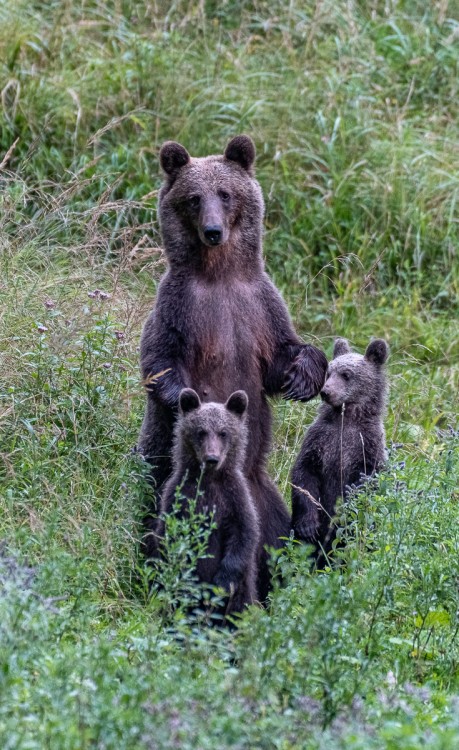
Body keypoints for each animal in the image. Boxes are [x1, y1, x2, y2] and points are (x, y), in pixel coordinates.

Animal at [156, 388, 260, 616]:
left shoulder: (234, 496)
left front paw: (222, 583)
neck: (210, 479)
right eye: (201, 431)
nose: (212, 458)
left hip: (244, 589)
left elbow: (244, 533)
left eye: (223, 432)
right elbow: (171, 535)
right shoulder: (179, 495)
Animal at [292, 340, 388, 560]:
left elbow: (365, 482)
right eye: (329, 372)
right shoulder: (320, 439)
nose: (325, 392)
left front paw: (342, 515)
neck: (347, 419)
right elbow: (304, 472)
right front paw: (308, 525)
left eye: (346, 374)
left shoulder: (367, 444)